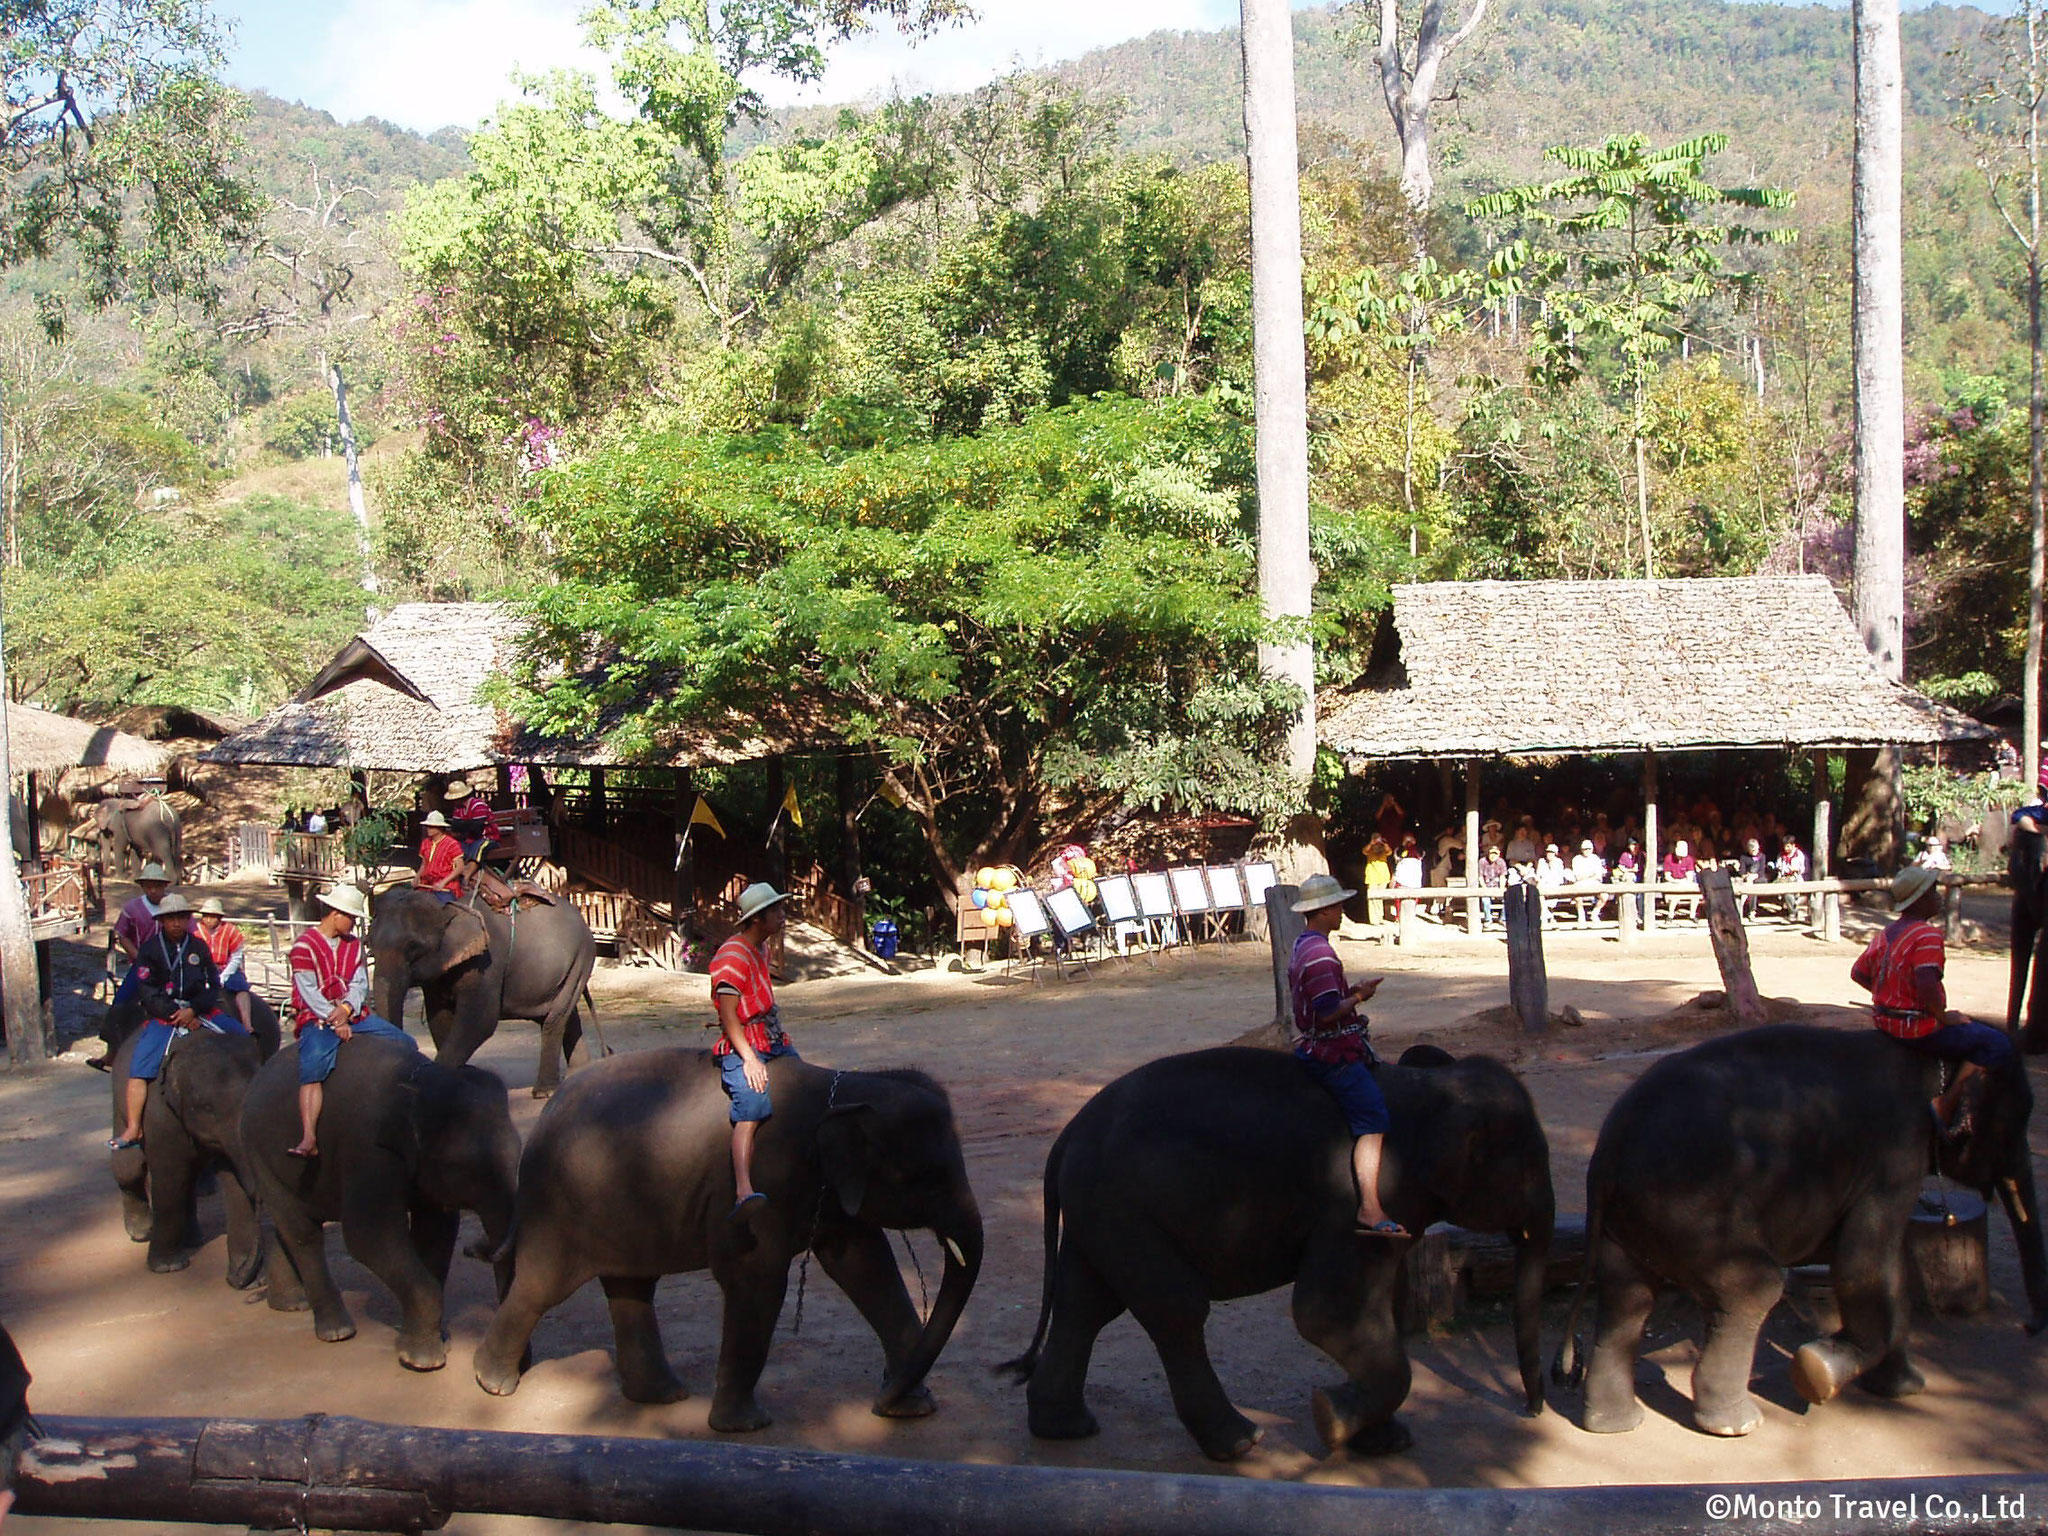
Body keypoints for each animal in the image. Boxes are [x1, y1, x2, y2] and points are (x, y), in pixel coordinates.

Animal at [108, 1024, 278, 1286]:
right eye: (207, 1107)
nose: (241, 1278)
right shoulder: (160, 1113)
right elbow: (169, 1175)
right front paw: (168, 1267)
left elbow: (232, 1180)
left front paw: (247, 1276)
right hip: (122, 1103)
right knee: (130, 1166)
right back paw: (141, 1232)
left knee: (189, 1176)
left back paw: (192, 1239)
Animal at [240, 1036, 520, 1368]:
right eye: (457, 1165)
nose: (473, 1247)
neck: (417, 1080)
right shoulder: (368, 1150)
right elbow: (368, 1237)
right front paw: (422, 1360)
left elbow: (436, 1231)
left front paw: (434, 1340)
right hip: (258, 1150)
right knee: (303, 1234)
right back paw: (336, 1331)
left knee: (290, 1224)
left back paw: (291, 1304)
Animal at [372, 884, 598, 1097]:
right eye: (369, 943)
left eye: (413, 947)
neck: (450, 908)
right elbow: (439, 1019)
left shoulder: (487, 961)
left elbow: (479, 1021)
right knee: (564, 1015)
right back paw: (578, 1076)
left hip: (582, 958)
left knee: (554, 1019)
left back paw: (545, 1091)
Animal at [481, 1056, 991, 1441]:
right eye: (923, 1177)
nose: (879, 1399)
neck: (846, 1084)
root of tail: (544, 1118)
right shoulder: (762, 1184)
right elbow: (758, 1279)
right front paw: (745, 1427)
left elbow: (866, 1265)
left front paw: (913, 1409)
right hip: (561, 1205)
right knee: (543, 1285)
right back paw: (494, 1385)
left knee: (631, 1287)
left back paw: (662, 1396)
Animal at [1003, 1048, 1548, 1466]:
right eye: (1531, 1168)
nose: (1532, 1411)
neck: (1432, 1089)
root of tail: (1066, 1137)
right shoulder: (1358, 1203)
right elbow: (1325, 1313)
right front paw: (1330, 1421)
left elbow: (1369, 1309)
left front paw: (1380, 1440)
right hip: (1126, 1211)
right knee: (1176, 1310)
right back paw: (1240, 1443)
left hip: (1099, 1214)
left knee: (1085, 1304)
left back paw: (1067, 1428)